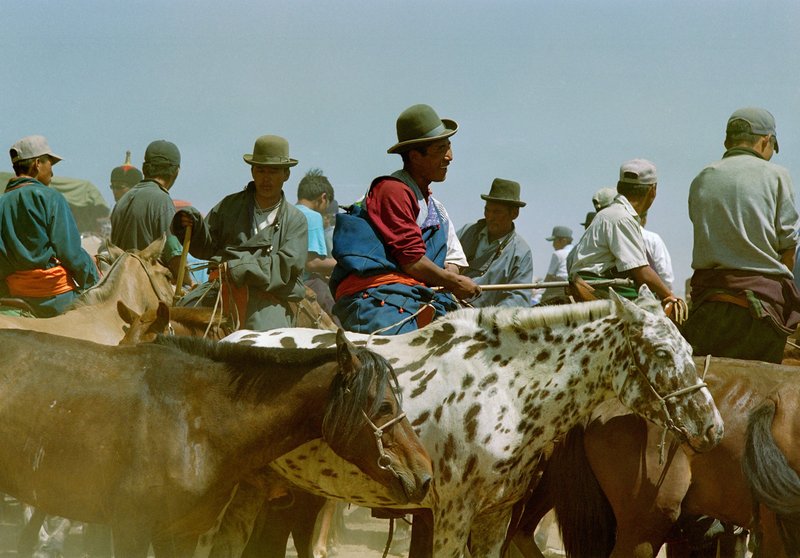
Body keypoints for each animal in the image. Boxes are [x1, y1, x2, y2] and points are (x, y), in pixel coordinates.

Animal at [206, 286, 724, 556]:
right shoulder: (452, 513)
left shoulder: (497, 515)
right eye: (662, 353)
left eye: (685, 346)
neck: (505, 391)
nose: (712, 427)